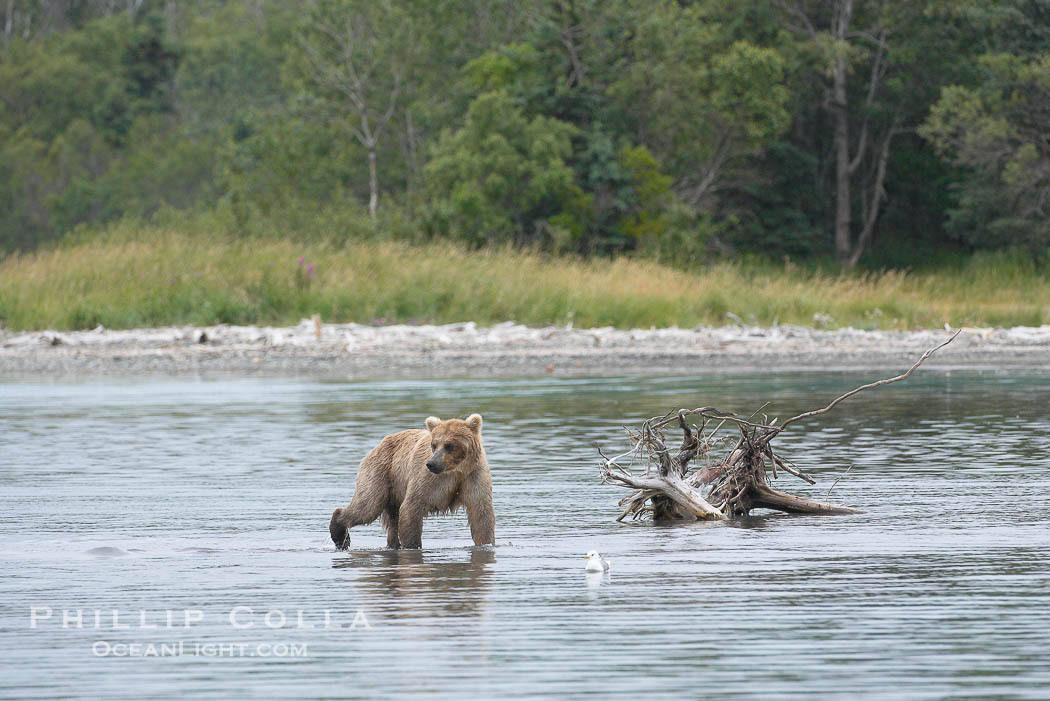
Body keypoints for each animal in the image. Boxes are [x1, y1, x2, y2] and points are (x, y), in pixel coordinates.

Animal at [329, 414, 494, 550]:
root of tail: (378, 445)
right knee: (367, 505)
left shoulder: (473, 477)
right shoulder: (427, 480)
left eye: (449, 445)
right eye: (434, 444)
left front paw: (486, 543)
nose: (431, 464)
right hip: (380, 473)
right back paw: (339, 535)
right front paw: (413, 545)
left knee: (391, 521)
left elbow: (481, 514)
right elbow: (411, 508)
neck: (455, 471)